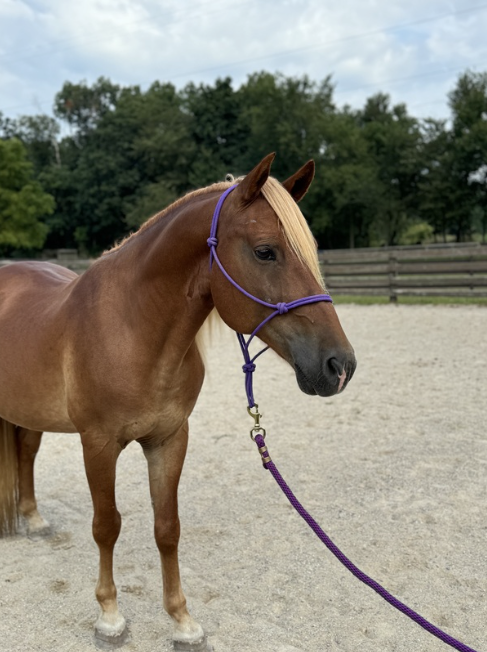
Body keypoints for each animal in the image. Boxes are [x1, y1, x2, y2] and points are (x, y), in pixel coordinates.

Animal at [0, 153, 356, 651]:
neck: (132, 330)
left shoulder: (169, 439)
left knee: (27, 452)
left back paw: (32, 520)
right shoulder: (98, 444)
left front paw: (182, 621)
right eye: (265, 251)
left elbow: (167, 528)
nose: (340, 365)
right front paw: (109, 617)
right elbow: (106, 525)